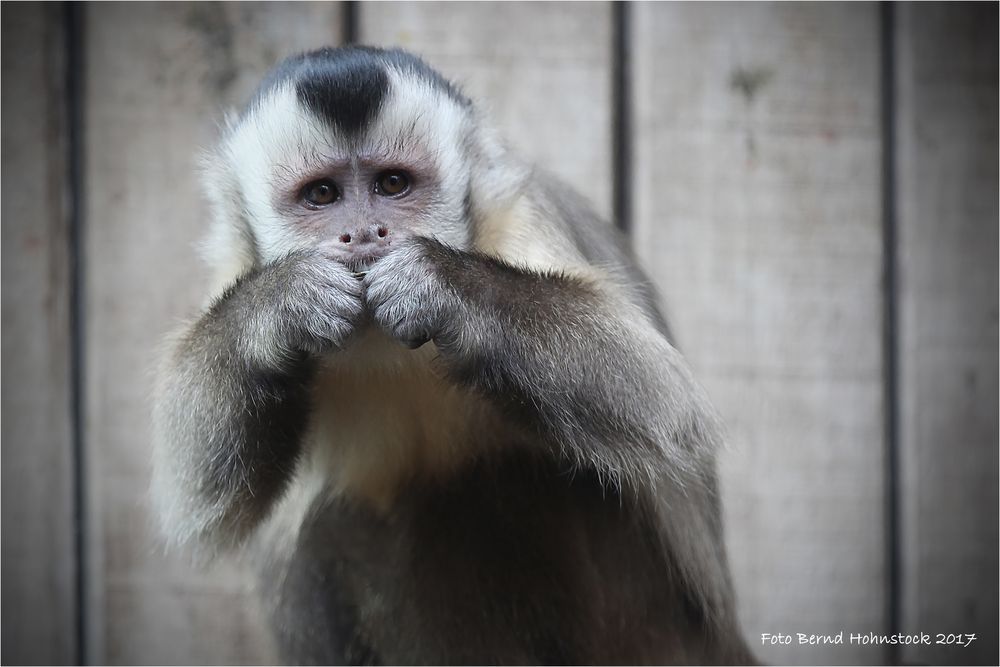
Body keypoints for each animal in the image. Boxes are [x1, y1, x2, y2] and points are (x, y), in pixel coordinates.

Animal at [152, 44, 752, 664]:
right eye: (322, 195)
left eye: (393, 184)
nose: (365, 233)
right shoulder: (233, 263)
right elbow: (198, 498)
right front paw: (283, 303)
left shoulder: (518, 212)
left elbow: (665, 402)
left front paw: (435, 285)